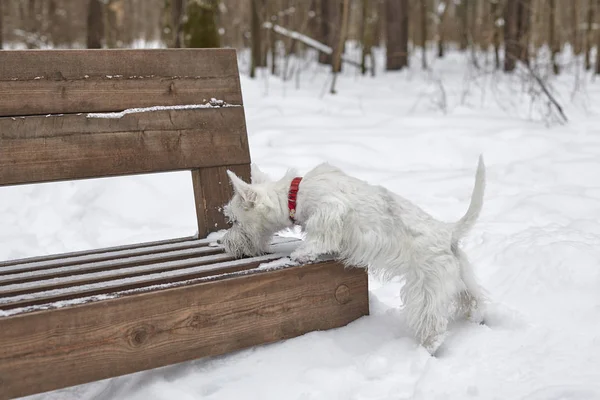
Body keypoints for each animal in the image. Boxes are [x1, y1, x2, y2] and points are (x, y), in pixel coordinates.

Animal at [220, 158, 488, 354]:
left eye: (234, 221)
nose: (224, 244)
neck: (291, 196)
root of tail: (448, 231)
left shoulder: (329, 210)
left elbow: (319, 236)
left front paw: (301, 254)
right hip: (459, 276)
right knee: (473, 298)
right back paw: (478, 318)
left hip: (428, 286)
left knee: (432, 322)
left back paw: (426, 348)